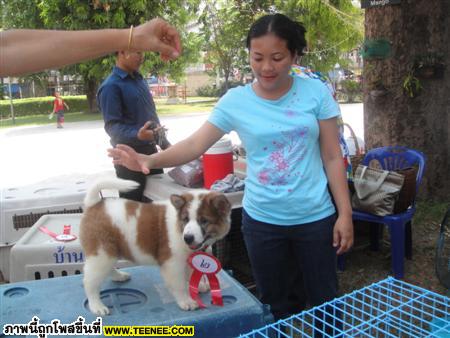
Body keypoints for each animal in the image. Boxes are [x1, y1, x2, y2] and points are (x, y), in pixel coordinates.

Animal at [78, 178, 230, 316]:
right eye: (185, 219)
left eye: (204, 221)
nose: (188, 238)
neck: (179, 227)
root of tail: (95, 204)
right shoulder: (172, 264)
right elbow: (179, 285)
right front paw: (186, 301)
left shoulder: (189, 258)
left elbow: (191, 274)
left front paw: (198, 286)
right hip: (101, 253)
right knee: (89, 282)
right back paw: (97, 306)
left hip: (109, 253)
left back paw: (119, 276)